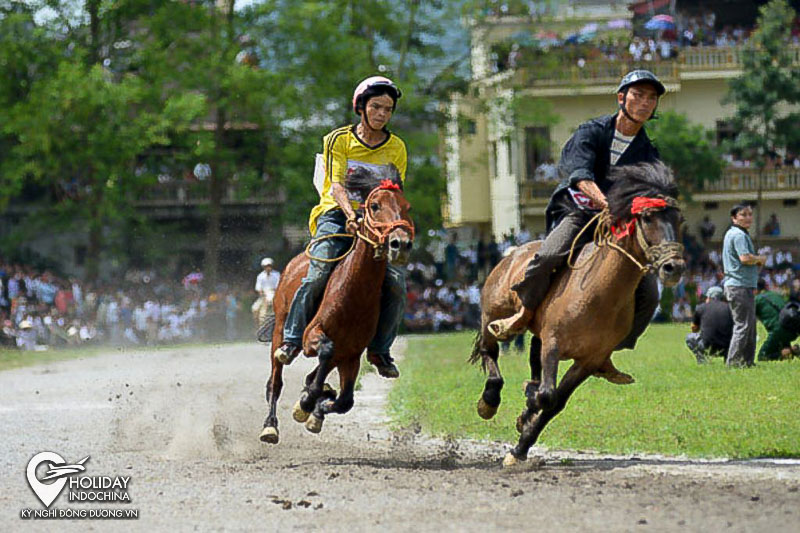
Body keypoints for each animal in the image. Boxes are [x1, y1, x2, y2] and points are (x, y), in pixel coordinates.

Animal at [260, 178, 412, 440]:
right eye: (374, 206)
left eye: (407, 207)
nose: (400, 243)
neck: (354, 294)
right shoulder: (312, 336)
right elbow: (325, 351)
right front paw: (307, 402)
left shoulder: (351, 355)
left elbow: (345, 401)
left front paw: (315, 409)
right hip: (280, 330)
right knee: (276, 380)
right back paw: (270, 425)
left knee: (317, 377)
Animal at [468, 163, 688, 466]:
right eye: (646, 218)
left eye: (680, 219)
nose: (673, 267)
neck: (598, 295)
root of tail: (512, 253)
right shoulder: (553, 343)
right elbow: (546, 395)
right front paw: (524, 419)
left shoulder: (589, 360)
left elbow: (554, 401)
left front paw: (522, 440)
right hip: (493, 312)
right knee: (490, 351)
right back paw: (488, 400)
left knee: (530, 356)